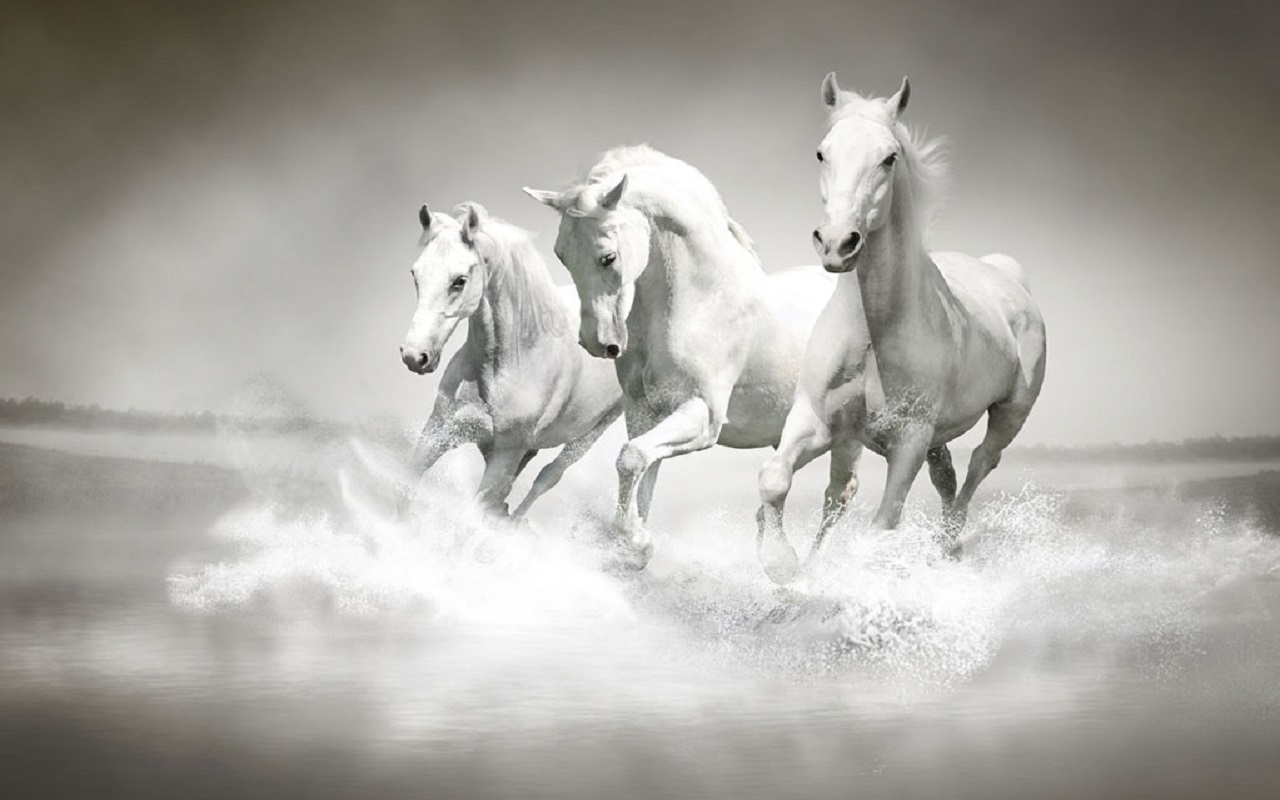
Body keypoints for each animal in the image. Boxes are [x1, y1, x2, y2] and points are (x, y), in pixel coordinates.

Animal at [399, 202, 623, 519]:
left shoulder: (505, 454)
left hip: (594, 430)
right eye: (415, 274)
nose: (414, 356)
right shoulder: (439, 429)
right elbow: (404, 493)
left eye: (459, 281)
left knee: (548, 476)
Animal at [523, 145, 847, 572]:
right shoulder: (646, 412)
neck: (701, 300)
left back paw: (802, 571)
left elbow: (631, 459)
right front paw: (635, 544)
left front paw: (631, 540)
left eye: (608, 257)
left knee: (839, 496)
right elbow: (643, 465)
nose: (597, 343)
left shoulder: (703, 416)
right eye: (561, 256)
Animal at [762, 73, 1046, 575]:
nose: (837, 244)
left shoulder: (908, 440)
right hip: (918, 438)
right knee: (932, 478)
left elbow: (882, 526)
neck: (875, 333)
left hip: (1009, 413)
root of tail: (1007, 275)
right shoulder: (818, 420)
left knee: (980, 465)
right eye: (822, 152)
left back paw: (947, 545)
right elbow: (775, 478)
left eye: (888, 157)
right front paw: (783, 565)